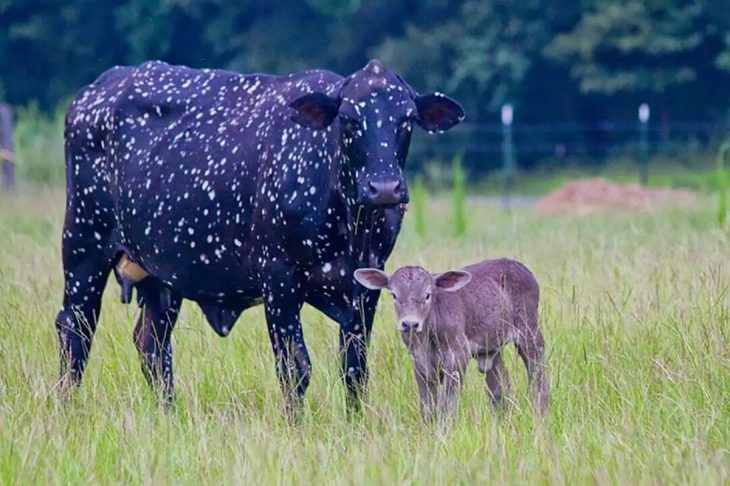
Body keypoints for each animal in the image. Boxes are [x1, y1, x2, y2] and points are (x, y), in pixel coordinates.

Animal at [59, 59, 464, 410]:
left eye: (406, 119)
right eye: (349, 119)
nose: (384, 187)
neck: (349, 224)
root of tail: (99, 87)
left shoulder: (366, 287)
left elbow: (354, 368)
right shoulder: (279, 280)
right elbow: (295, 367)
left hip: (162, 277)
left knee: (153, 346)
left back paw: (169, 415)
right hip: (83, 245)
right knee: (74, 329)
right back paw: (67, 410)